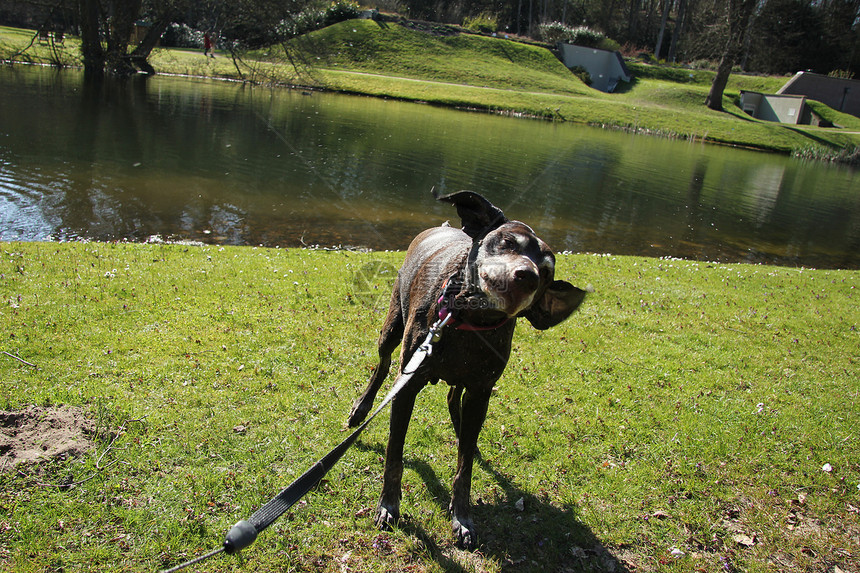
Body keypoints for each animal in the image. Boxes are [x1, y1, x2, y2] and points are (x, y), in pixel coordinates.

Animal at [346, 191, 588, 548]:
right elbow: (394, 454)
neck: (469, 321)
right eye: (507, 241)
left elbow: (464, 470)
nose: (528, 276)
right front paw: (388, 506)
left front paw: (462, 517)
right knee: (382, 365)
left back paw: (465, 438)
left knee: (453, 401)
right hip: (392, 328)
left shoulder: (480, 392)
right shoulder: (408, 385)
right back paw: (361, 408)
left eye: (546, 272)